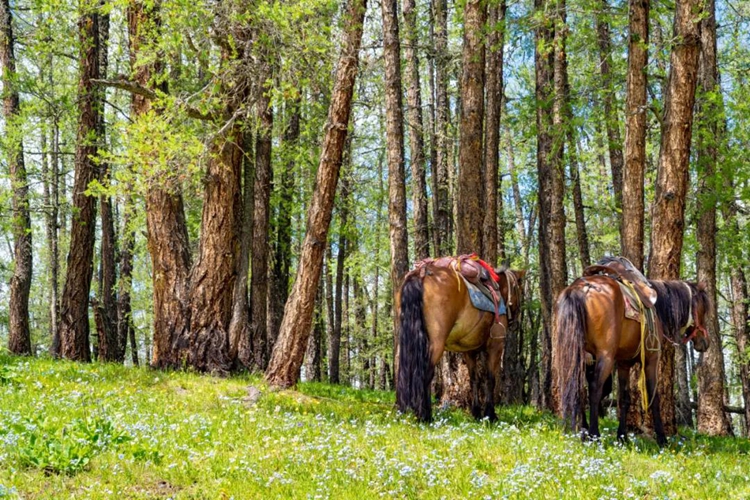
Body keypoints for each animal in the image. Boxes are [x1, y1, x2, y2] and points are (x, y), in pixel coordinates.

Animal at [396, 262, 524, 422]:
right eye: (519, 290)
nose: (515, 323)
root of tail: (422, 274)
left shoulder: (469, 351)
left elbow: (474, 379)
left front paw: (476, 413)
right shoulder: (496, 346)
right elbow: (490, 379)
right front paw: (490, 414)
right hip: (436, 344)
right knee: (426, 374)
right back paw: (425, 416)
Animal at [556, 276, 712, 444]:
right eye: (703, 310)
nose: (705, 342)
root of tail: (581, 288)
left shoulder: (624, 363)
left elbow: (624, 399)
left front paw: (622, 437)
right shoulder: (652, 361)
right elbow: (654, 397)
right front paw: (662, 438)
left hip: (579, 356)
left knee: (578, 388)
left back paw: (583, 431)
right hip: (605, 356)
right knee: (595, 388)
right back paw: (594, 435)